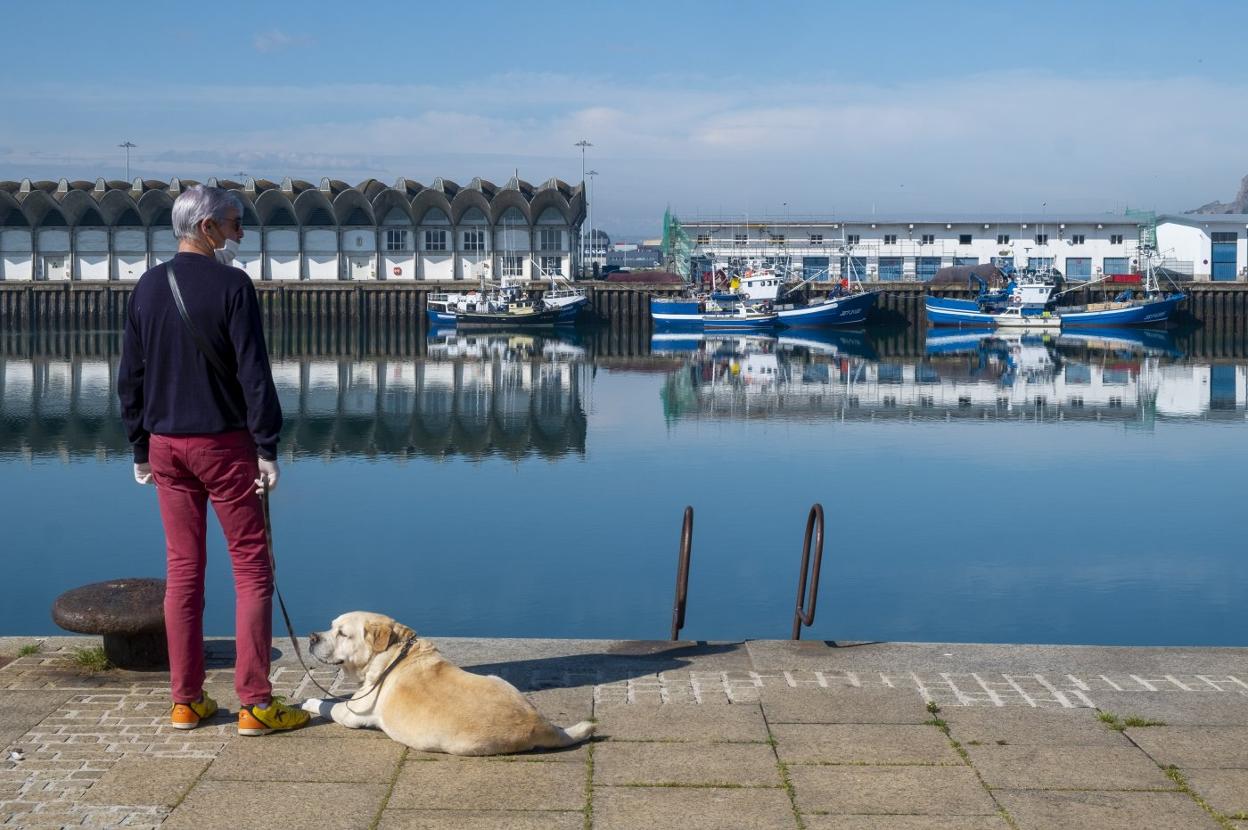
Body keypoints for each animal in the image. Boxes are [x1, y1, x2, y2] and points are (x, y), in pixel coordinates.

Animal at [300, 606, 594, 753]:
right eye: (331, 627)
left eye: (342, 634)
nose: (312, 636)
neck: (395, 654)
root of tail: (541, 725)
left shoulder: (352, 712)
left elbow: (327, 705)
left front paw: (308, 702)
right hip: (498, 679)